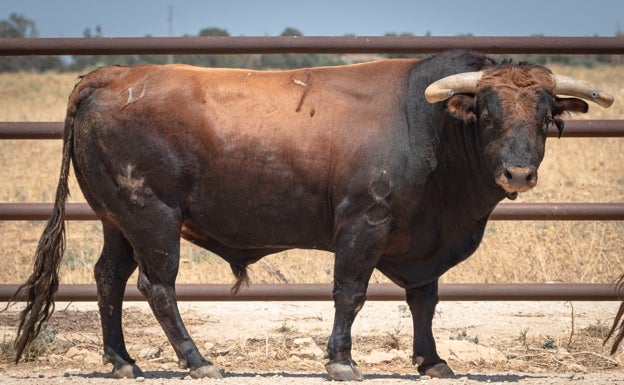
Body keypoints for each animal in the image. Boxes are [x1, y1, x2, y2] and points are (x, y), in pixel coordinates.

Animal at [9, 50, 616, 378]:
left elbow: (424, 300)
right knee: (156, 286)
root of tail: (108, 75)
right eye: (487, 113)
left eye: (545, 116)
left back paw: (122, 361)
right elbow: (350, 293)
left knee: (108, 279)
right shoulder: (364, 224)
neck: (430, 125)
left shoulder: (421, 240)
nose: (518, 174)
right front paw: (341, 361)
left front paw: (431, 361)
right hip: (151, 217)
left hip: (117, 221)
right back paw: (197, 360)